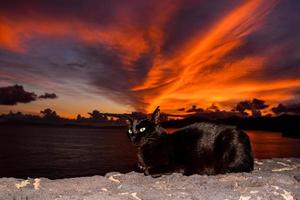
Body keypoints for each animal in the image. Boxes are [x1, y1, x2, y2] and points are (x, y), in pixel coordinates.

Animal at [125, 106, 254, 177]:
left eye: (142, 129)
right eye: (130, 130)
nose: (133, 137)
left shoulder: (176, 164)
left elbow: (148, 170)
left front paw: (147, 169)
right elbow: (136, 165)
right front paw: (140, 166)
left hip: (230, 139)